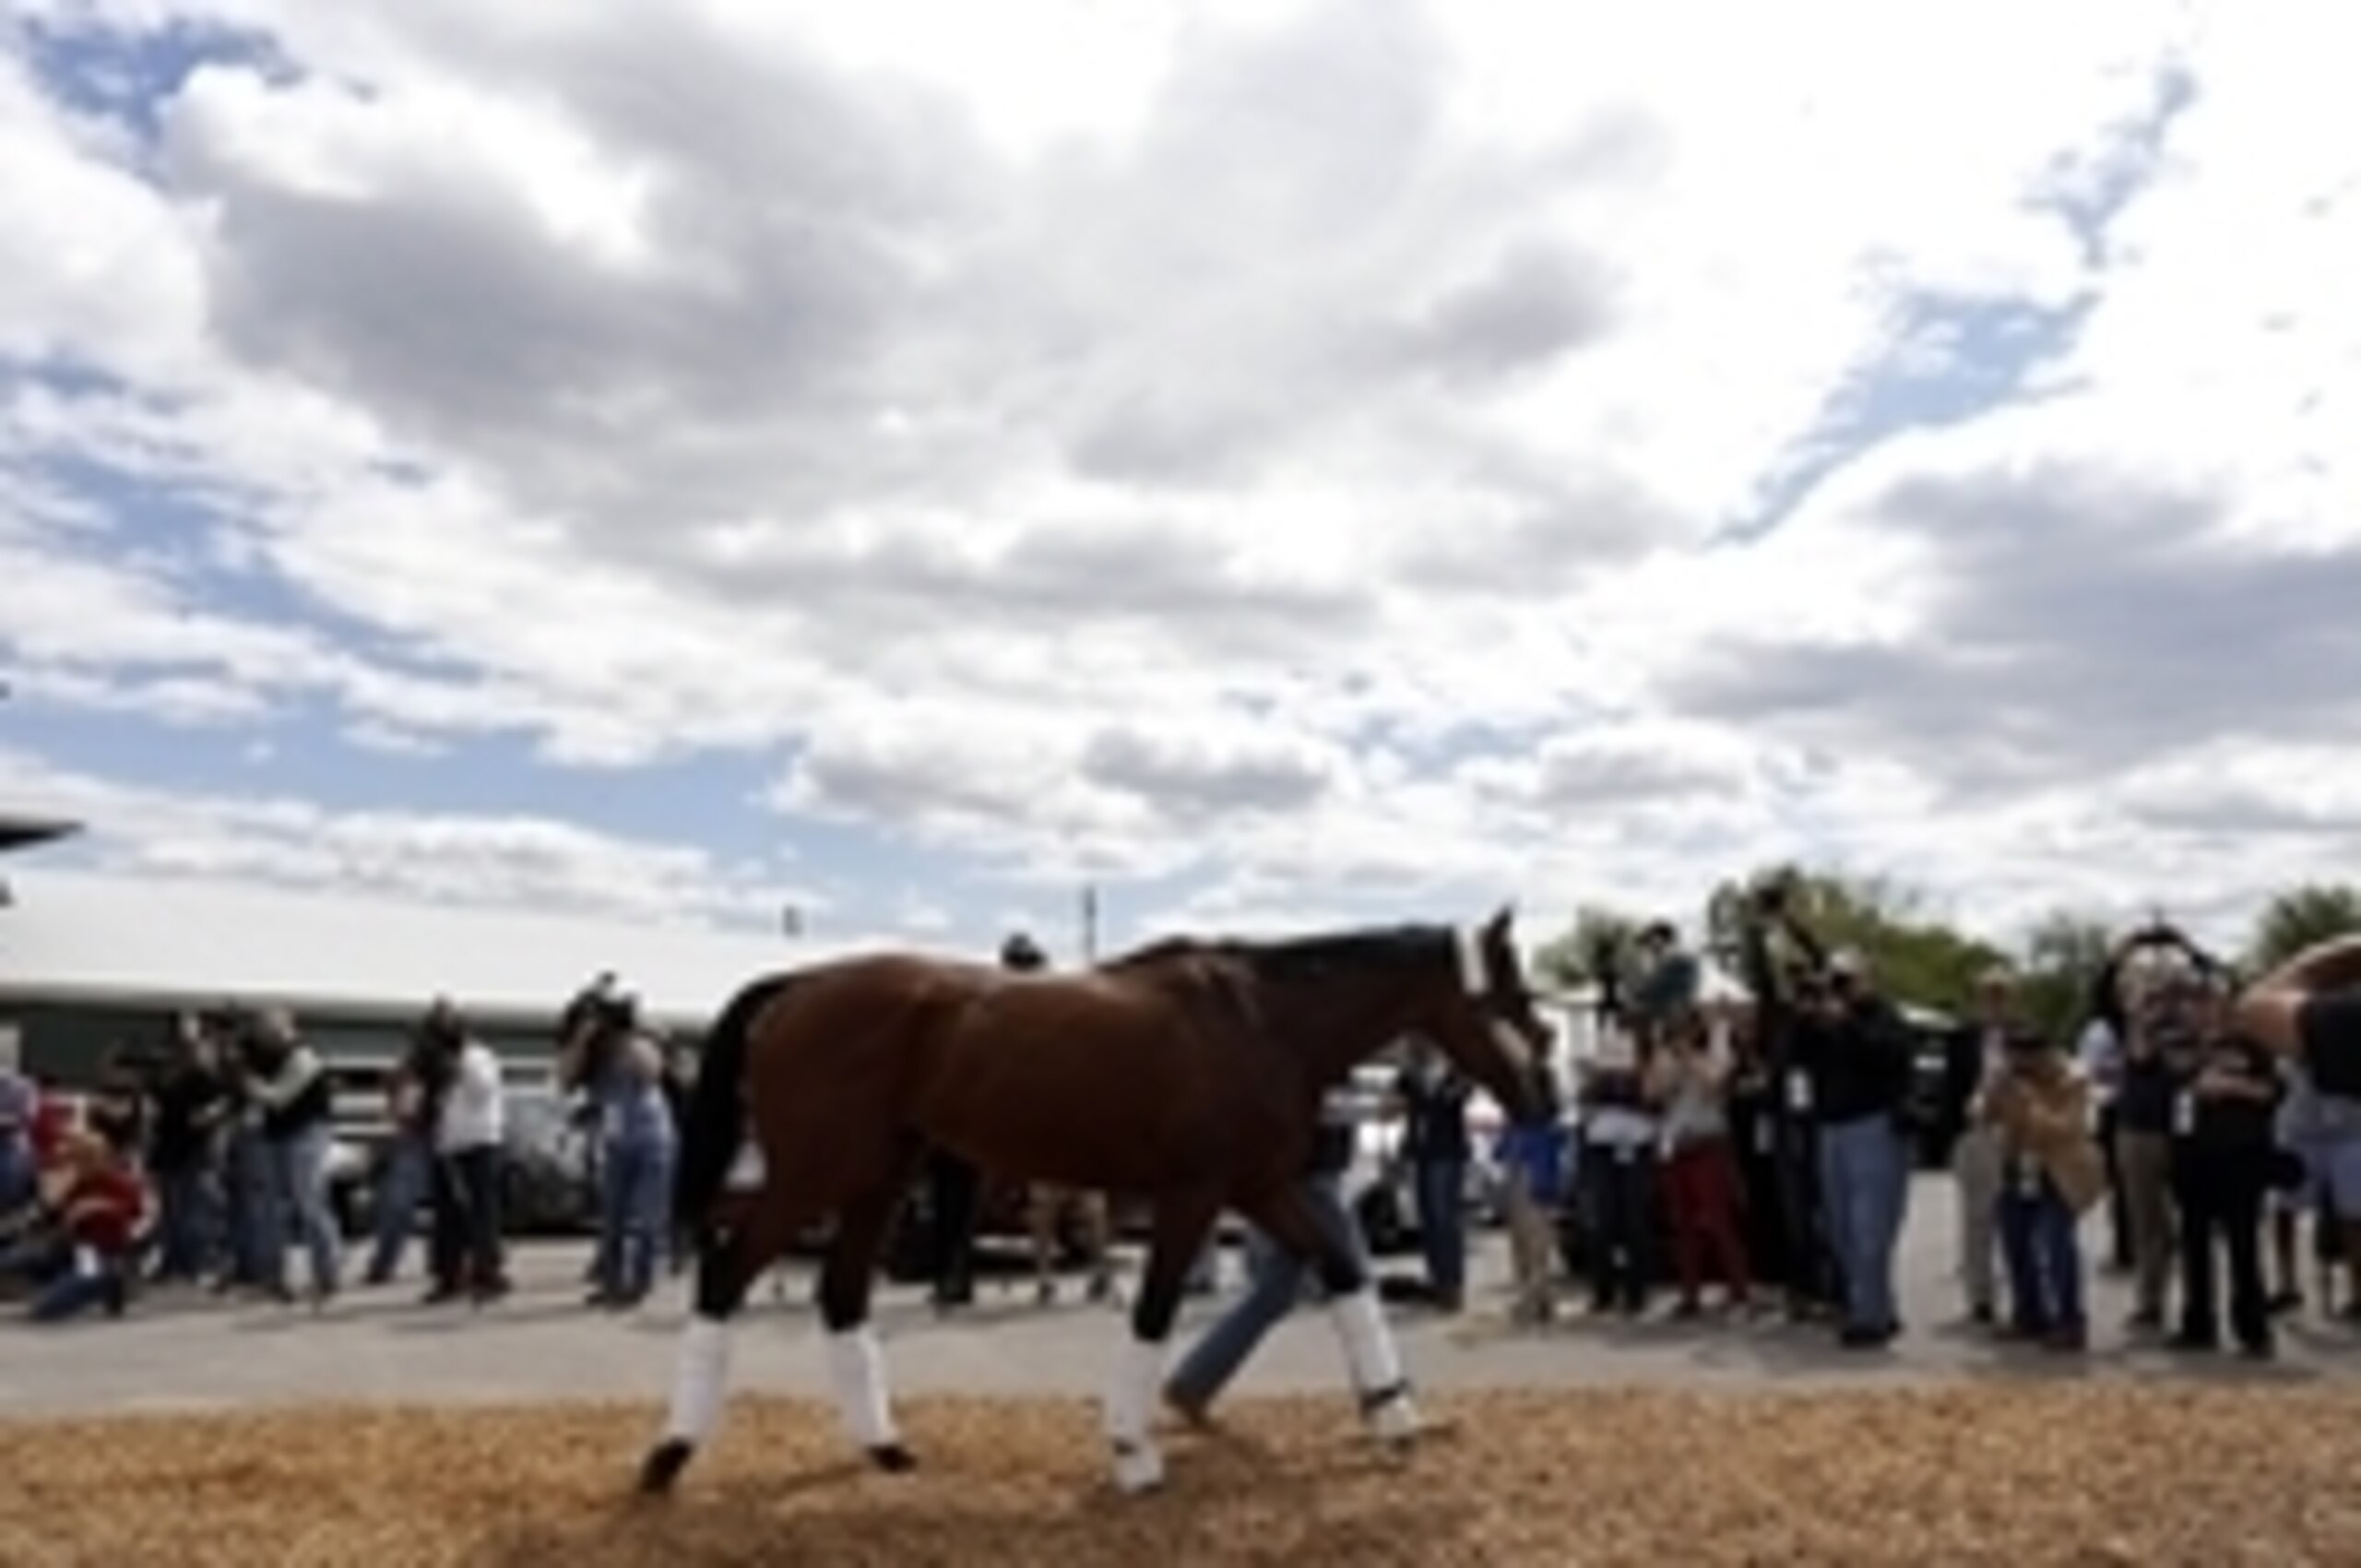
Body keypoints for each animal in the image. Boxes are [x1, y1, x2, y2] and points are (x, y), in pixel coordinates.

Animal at [635, 906, 1553, 1498]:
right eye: (1508, 998)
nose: (1544, 1096)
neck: (1260, 1019)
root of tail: (801, 985)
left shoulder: (1258, 1187)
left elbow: (1341, 1271)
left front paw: (1397, 1420)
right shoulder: (1195, 1195)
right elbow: (1154, 1311)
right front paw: (1131, 1453)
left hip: (876, 1183)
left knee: (840, 1297)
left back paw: (887, 1451)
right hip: (814, 1177)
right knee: (725, 1275)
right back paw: (667, 1457)